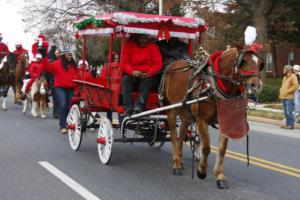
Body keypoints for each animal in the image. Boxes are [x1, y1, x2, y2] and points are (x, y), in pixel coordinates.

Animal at [163, 47, 264, 189]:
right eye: (243, 61)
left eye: (260, 63)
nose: (256, 85)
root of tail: (172, 65)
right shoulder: (201, 120)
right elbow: (206, 147)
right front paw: (201, 171)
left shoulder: (226, 121)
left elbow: (222, 150)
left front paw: (220, 176)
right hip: (171, 109)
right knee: (173, 135)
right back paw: (176, 163)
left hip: (186, 114)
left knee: (181, 134)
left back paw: (180, 160)